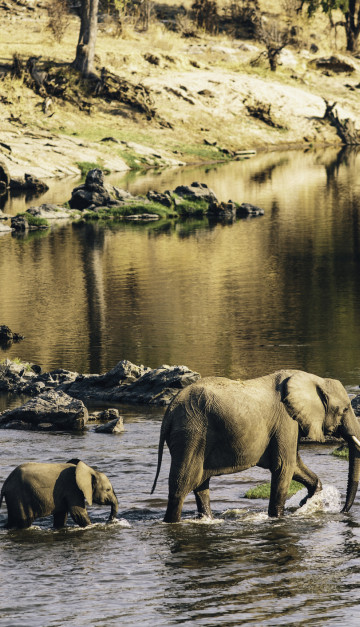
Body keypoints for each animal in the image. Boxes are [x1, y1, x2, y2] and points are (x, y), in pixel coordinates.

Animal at [151, 370, 360, 524]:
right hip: (190, 434)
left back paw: (207, 519)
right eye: (345, 409)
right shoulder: (286, 421)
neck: (314, 379)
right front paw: (278, 517)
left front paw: (307, 502)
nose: (342, 511)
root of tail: (170, 410)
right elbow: (284, 466)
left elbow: (295, 464)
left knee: (201, 483)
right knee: (183, 484)